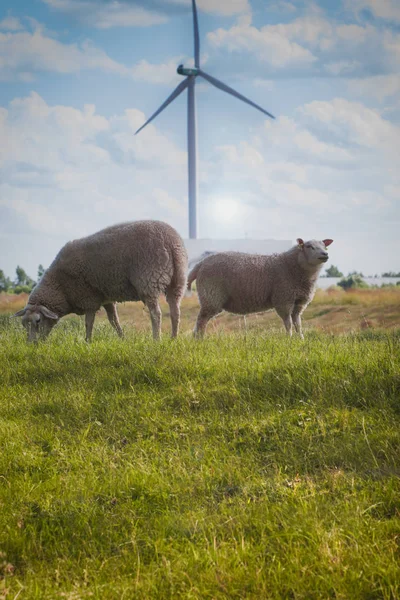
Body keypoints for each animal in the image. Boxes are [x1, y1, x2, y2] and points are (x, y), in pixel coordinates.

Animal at [12, 220, 188, 342]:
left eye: (38, 321)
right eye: (23, 324)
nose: (31, 345)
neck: (60, 286)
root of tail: (172, 242)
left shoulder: (88, 299)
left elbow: (89, 323)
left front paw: (87, 342)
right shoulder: (106, 298)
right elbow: (114, 321)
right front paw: (122, 339)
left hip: (149, 280)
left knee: (156, 314)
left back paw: (156, 340)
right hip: (178, 281)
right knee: (175, 311)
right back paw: (173, 339)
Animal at [188, 238, 334, 340]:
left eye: (325, 246)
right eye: (309, 246)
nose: (325, 254)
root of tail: (200, 264)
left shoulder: (299, 303)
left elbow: (298, 323)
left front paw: (301, 339)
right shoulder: (283, 300)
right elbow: (288, 323)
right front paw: (289, 339)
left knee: (202, 320)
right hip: (211, 296)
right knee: (201, 320)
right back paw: (199, 340)